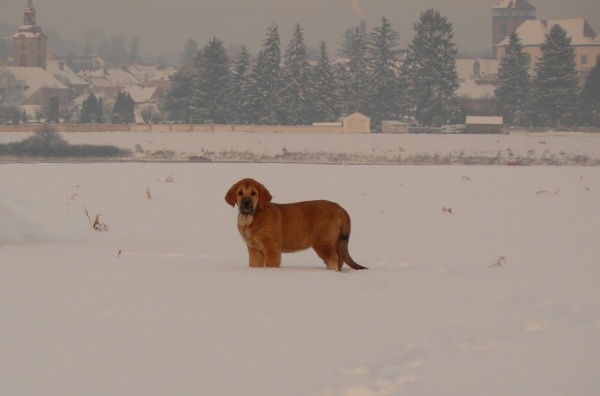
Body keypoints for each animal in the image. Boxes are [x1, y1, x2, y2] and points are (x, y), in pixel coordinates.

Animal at [224, 178, 366, 270]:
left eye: (254, 193)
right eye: (240, 193)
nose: (246, 203)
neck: (251, 218)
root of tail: (341, 209)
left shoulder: (271, 247)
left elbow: (271, 264)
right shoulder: (254, 249)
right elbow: (254, 264)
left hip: (323, 242)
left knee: (333, 259)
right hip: (334, 241)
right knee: (340, 259)